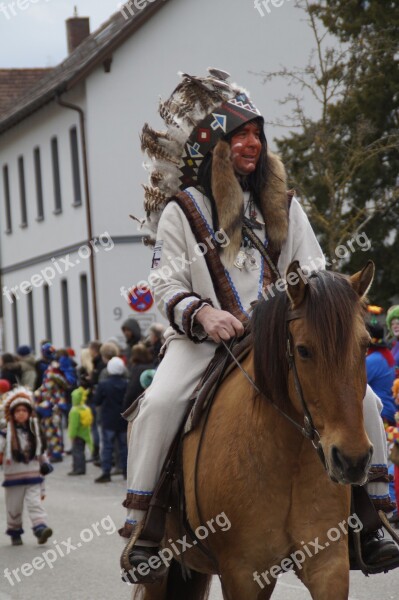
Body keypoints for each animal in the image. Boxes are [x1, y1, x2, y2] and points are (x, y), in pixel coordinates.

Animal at [133, 260, 376, 596]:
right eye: (304, 350)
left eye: (365, 346)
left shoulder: (327, 563)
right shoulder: (242, 572)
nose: (352, 460)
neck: (289, 459)